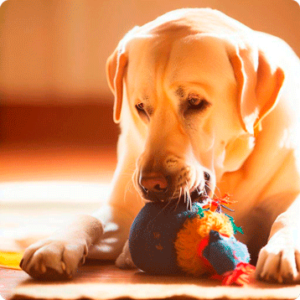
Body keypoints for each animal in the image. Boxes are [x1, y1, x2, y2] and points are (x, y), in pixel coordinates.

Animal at [21, 7, 300, 284]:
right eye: (140, 107)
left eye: (195, 102)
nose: (151, 184)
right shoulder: (121, 211)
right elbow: (89, 218)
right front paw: (56, 245)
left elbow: (287, 215)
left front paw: (284, 249)